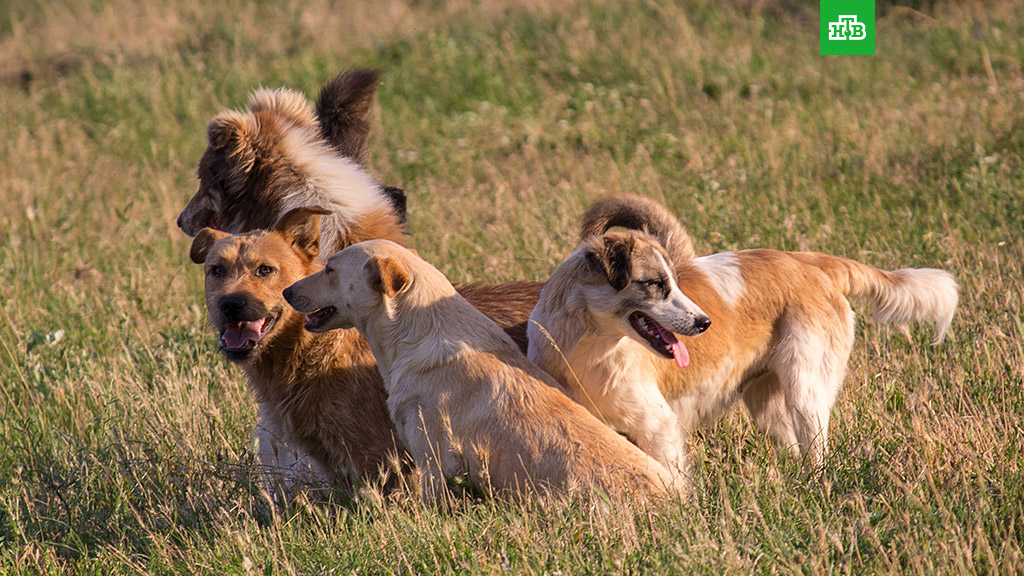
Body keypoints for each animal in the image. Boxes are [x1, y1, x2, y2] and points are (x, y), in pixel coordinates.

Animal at [528, 194, 958, 478]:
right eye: (655, 284)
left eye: (675, 283)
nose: (705, 323)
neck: (587, 349)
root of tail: (808, 262)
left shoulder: (658, 425)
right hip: (767, 403)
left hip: (805, 386)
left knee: (816, 446)